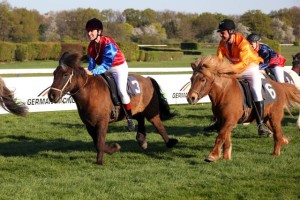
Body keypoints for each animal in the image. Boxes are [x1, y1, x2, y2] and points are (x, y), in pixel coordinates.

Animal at [47, 52, 177, 166]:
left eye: (65, 74)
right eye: (54, 73)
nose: (51, 95)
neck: (89, 93)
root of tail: (148, 79)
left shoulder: (102, 122)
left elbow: (100, 142)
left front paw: (100, 160)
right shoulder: (89, 124)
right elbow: (98, 143)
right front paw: (113, 148)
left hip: (151, 111)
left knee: (158, 125)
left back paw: (170, 142)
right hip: (134, 110)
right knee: (140, 118)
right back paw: (142, 140)